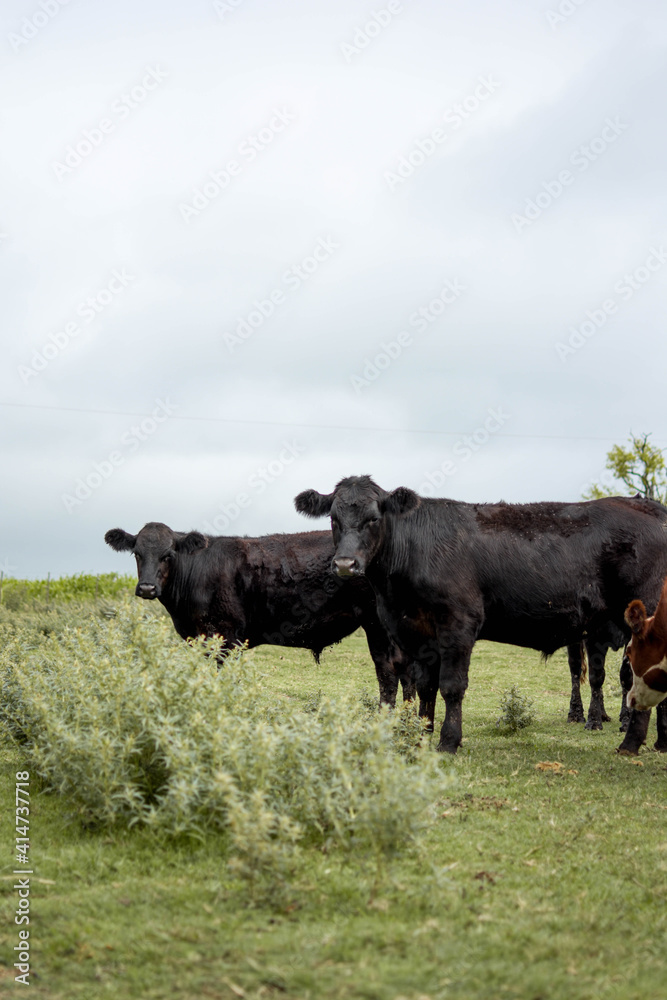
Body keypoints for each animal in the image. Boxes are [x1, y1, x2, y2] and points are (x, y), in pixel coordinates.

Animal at [103, 524, 414, 704]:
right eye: (137, 553)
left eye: (168, 555)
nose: (147, 588)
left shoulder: (225, 635)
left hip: (377, 625)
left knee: (388, 670)